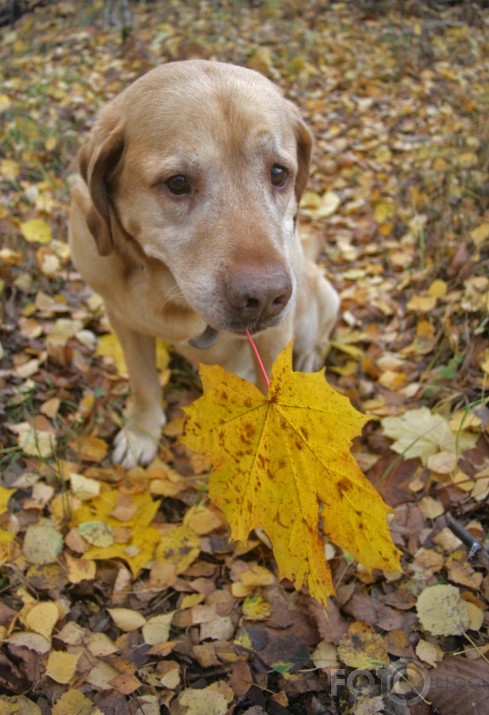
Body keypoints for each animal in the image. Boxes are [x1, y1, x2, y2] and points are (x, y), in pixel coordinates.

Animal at [69, 58, 340, 468]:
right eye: (177, 182)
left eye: (279, 173)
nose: (265, 298)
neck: (168, 290)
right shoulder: (123, 320)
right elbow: (144, 382)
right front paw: (141, 432)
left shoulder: (276, 335)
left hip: (322, 297)